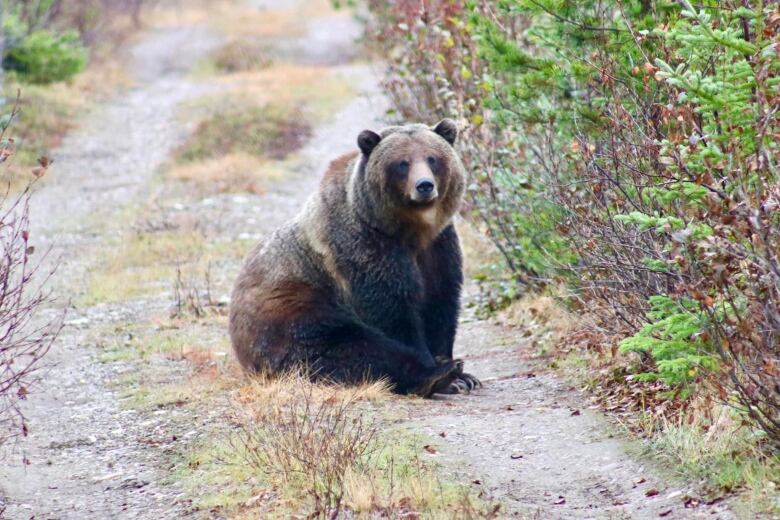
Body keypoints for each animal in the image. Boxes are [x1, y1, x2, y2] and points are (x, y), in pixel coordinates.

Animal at [229, 120, 478, 396]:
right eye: (402, 163)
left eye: (432, 158)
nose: (424, 185)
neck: (410, 231)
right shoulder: (365, 247)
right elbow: (392, 311)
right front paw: (443, 371)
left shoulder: (438, 247)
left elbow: (440, 303)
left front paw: (462, 376)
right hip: (290, 314)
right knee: (349, 348)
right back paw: (434, 376)